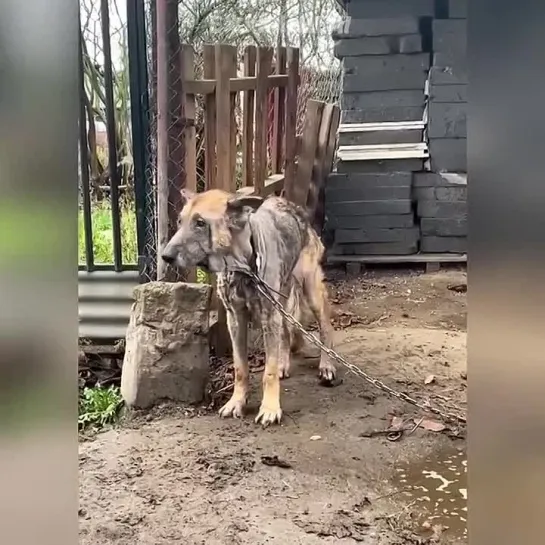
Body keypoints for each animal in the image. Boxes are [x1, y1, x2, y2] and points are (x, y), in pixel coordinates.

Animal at [160, 188, 336, 424]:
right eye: (180, 221)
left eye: (200, 223)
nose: (165, 256)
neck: (243, 267)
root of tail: (294, 207)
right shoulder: (236, 320)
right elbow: (240, 368)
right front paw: (237, 402)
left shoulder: (269, 316)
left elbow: (268, 372)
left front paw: (270, 408)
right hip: (282, 302)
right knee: (285, 334)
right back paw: (284, 362)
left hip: (310, 291)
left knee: (325, 328)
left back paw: (327, 365)